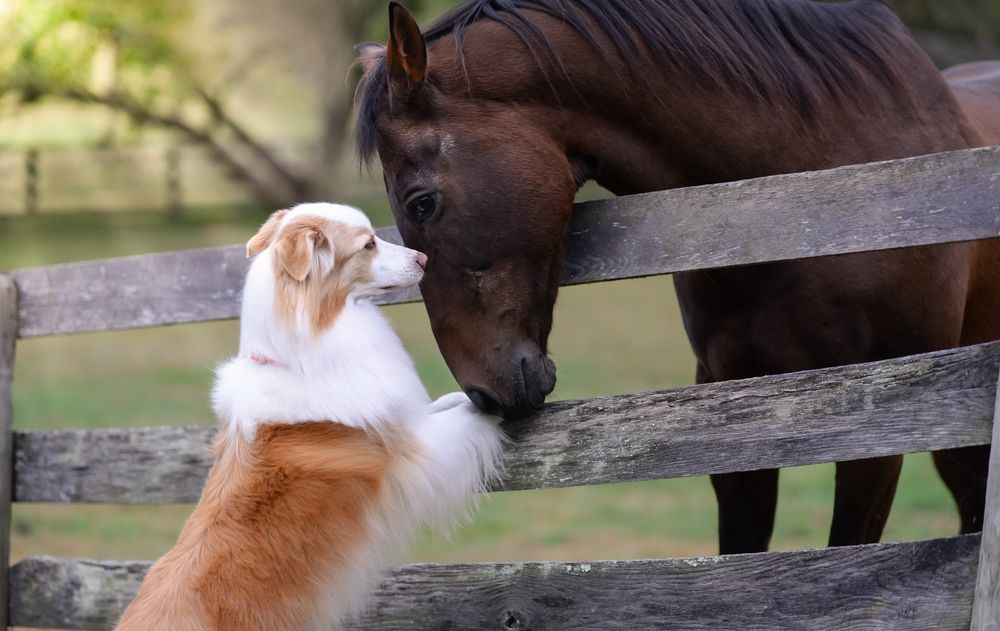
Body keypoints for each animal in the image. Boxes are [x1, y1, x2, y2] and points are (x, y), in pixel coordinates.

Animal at [117, 204, 508, 631]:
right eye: (368, 244)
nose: (422, 258)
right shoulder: (415, 451)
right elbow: (464, 417)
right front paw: (495, 404)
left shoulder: (404, 418)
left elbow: (442, 403)